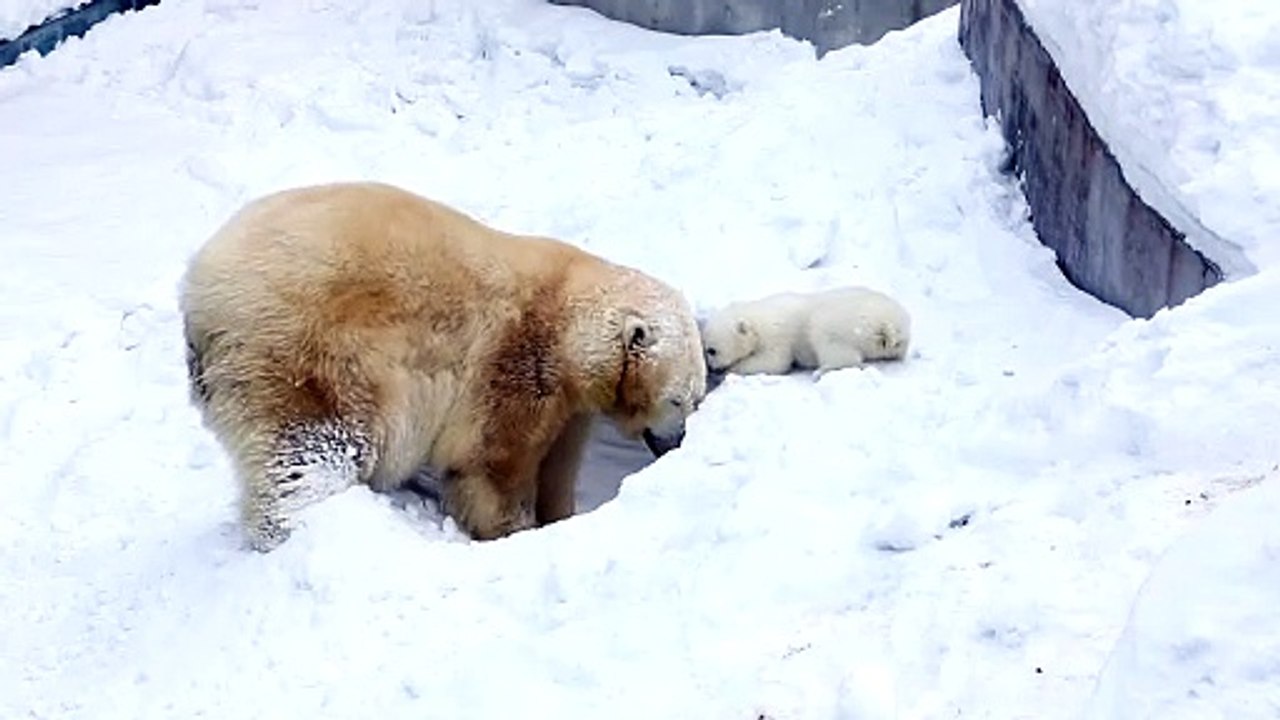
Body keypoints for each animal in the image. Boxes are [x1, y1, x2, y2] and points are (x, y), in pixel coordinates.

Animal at [180, 181, 707, 551]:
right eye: (679, 399)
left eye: (696, 399)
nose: (674, 442)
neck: (567, 312)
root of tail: (199, 296)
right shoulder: (516, 359)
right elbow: (491, 460)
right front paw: (512, 529)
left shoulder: (570, 400)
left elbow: (558, 460)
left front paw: (559, 513)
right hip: (303, 349)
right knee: (312, 450)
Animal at [700, 286, 910, 378]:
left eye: (712, 350)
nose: (711, 368)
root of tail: (890, 325)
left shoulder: (776, 336)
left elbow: (774, 362)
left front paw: (732, 369)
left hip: (848, 322)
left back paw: (821, 370)